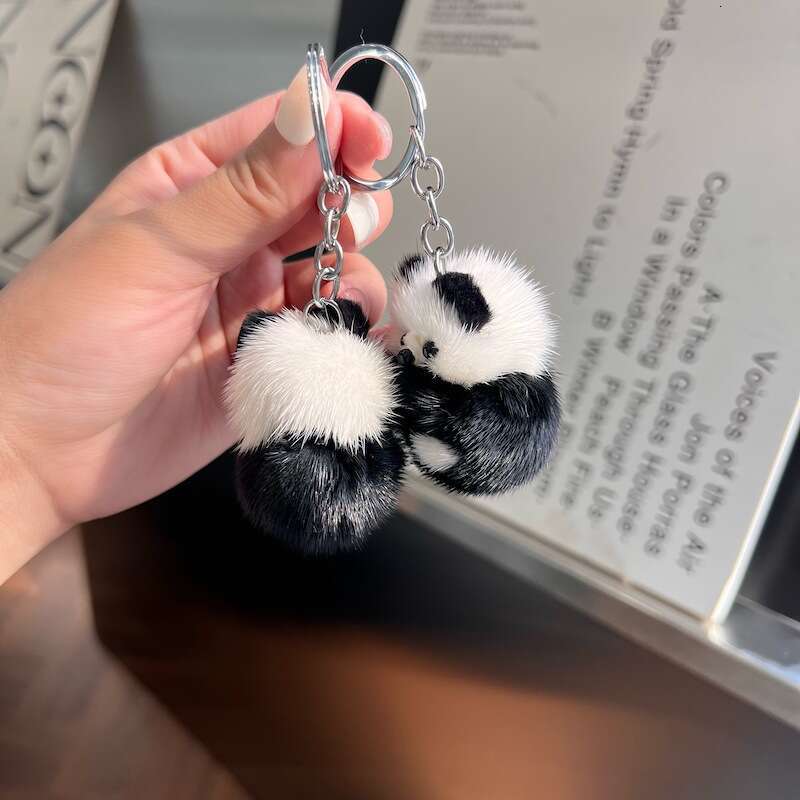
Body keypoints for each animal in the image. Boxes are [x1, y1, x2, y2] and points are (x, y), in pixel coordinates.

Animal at [386, 247, 560, 495]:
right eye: (402, 334)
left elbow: (469, 421)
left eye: (430, 348)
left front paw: (409, 381)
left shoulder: (515, 402)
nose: (404, 350)